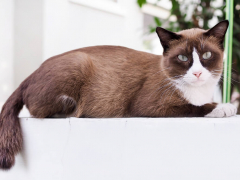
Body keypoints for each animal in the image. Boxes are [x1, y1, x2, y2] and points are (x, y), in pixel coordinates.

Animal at [0, 20, 236, 170]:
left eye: (207, 55)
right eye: (183, 58)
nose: (197, 73)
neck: (198, 90)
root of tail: (30, 75)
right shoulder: (149, 106)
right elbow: (194, 107)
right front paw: (224, 107)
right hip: (79, 62)